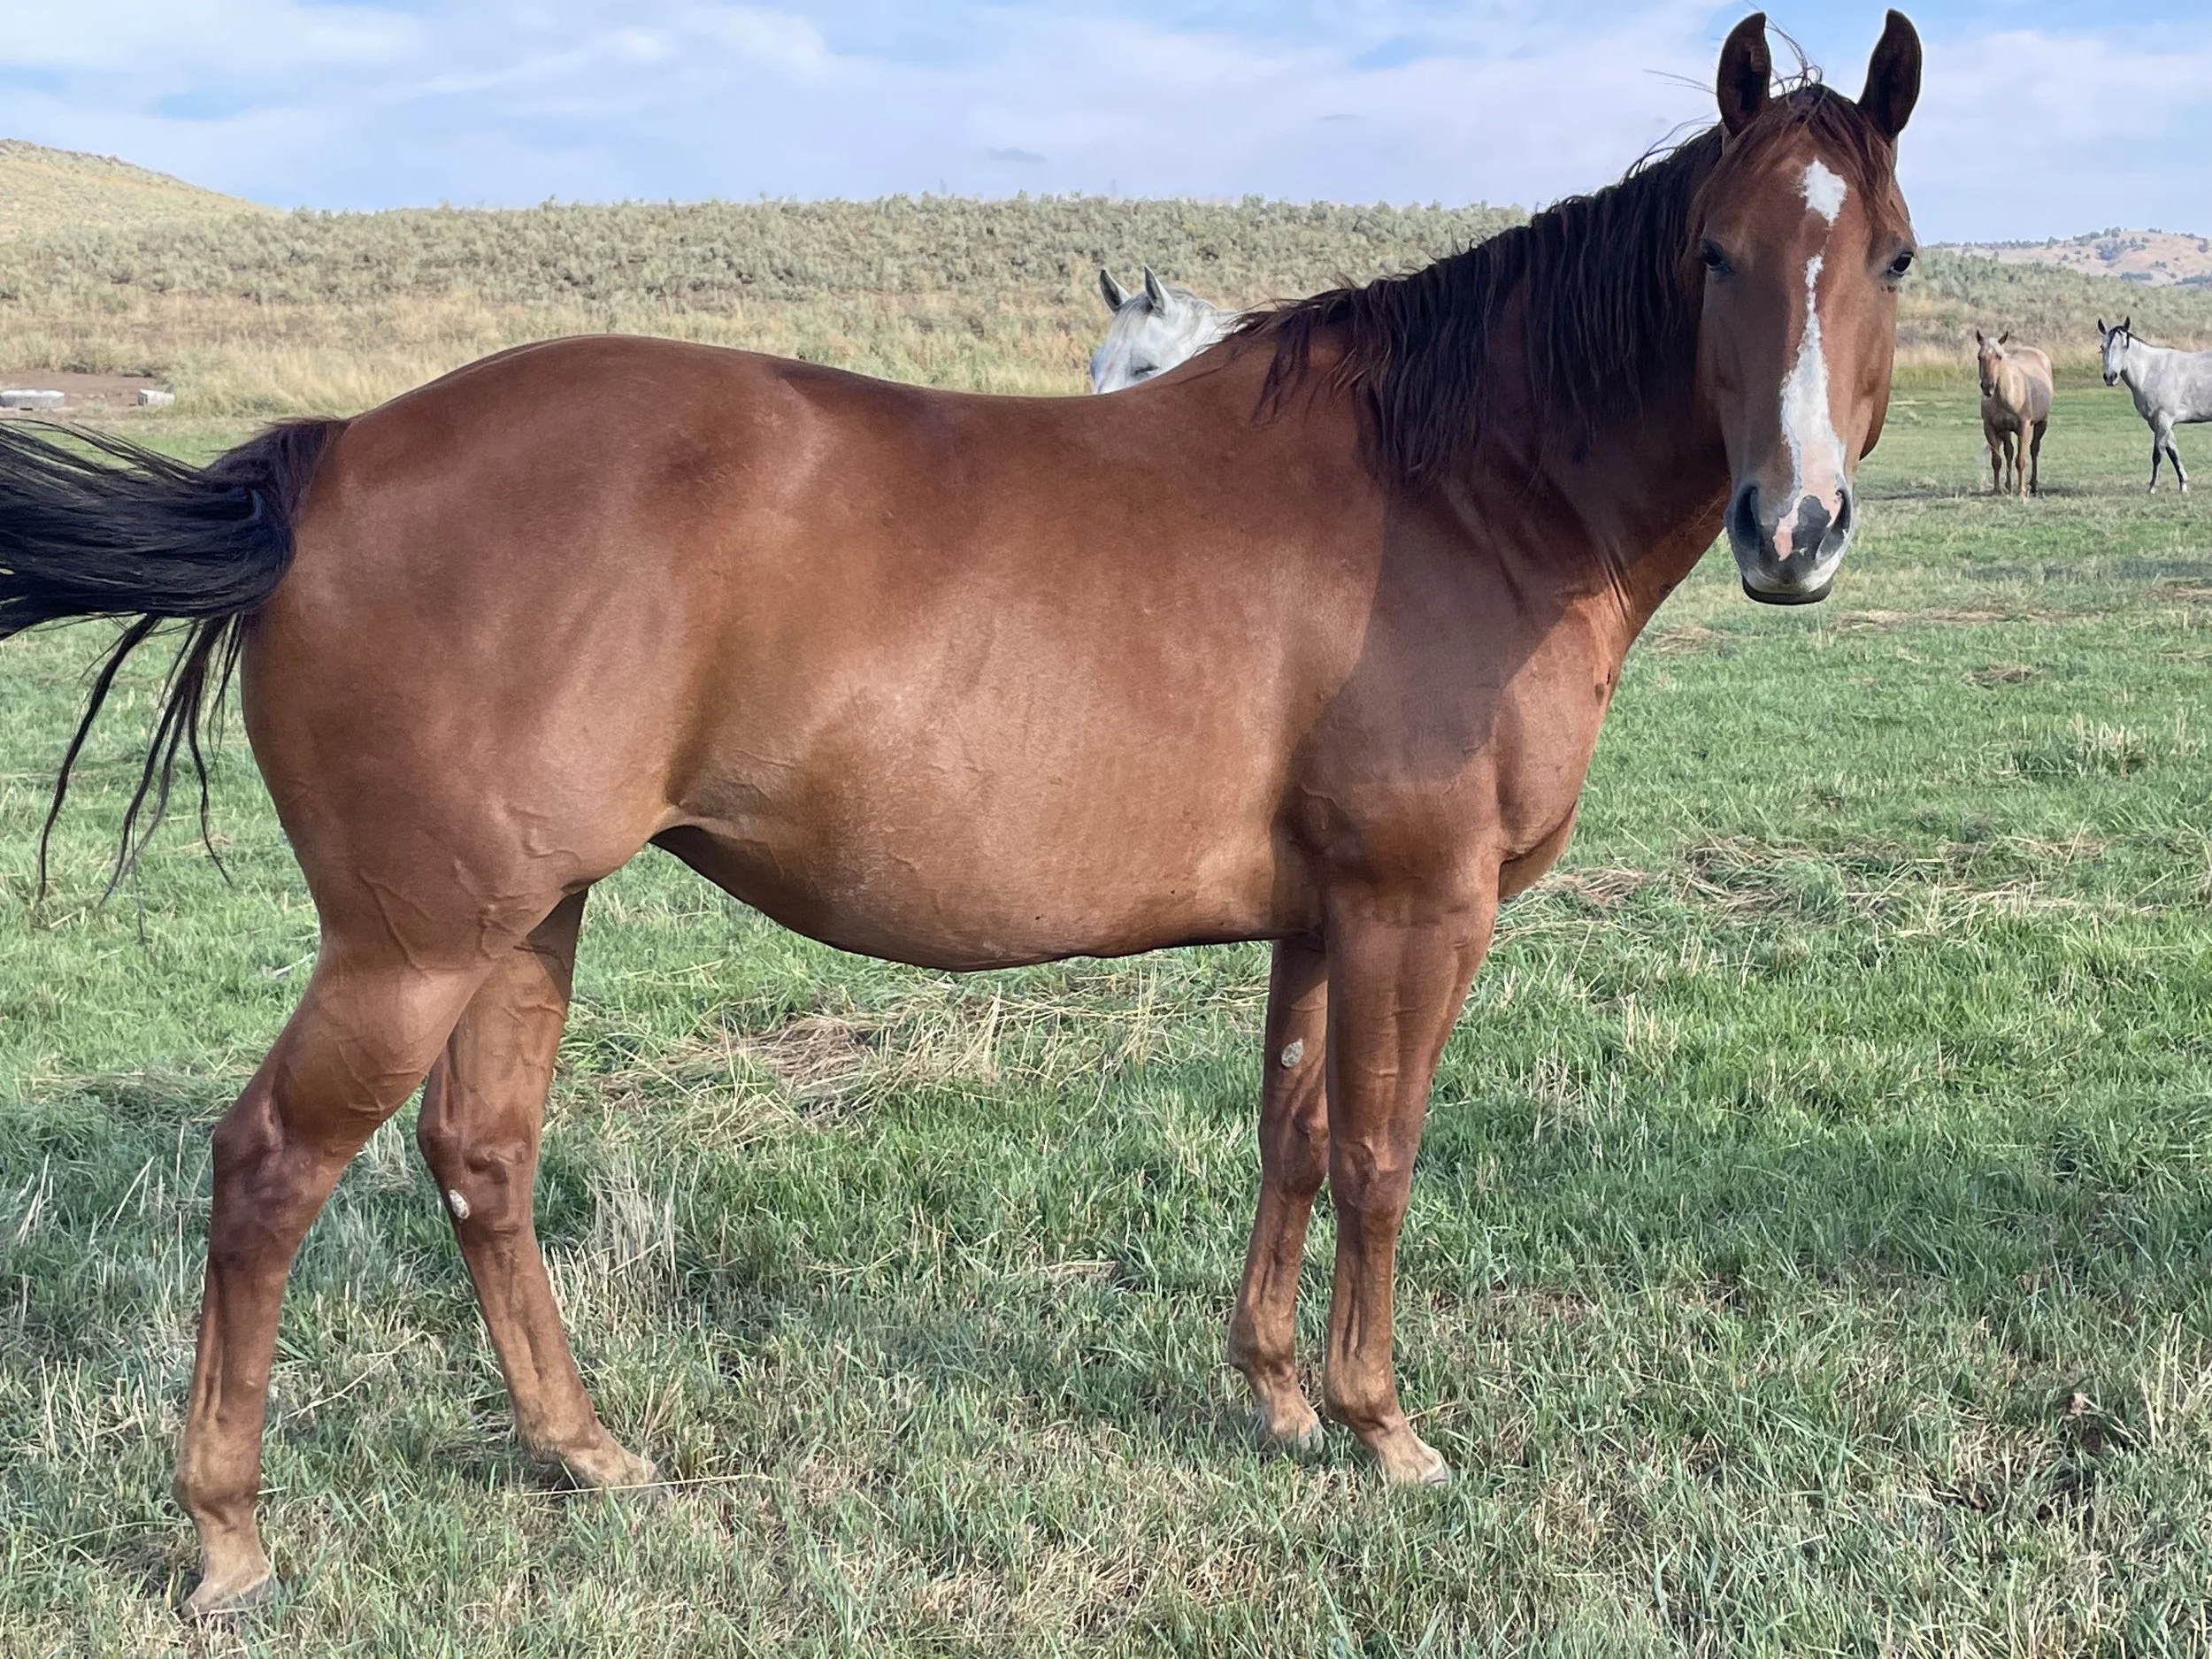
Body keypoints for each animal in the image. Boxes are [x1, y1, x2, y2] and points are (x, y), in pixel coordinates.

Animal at [1974, 328, 2051, 497]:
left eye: (1999, 356)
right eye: (1979, 357)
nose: (1988, 387)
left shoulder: (2024, 427)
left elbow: (2020, 460)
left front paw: (2021, 491)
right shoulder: (1991, 428)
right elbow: (1997, 460)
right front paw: (1997, 489)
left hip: (2041, 423)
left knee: (2034, 449)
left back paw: (2033, 485)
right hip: (2005, 430)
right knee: (2009, 452)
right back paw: (2008, 486)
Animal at [2099, 315, 2212, 493]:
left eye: (2125, 346)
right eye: (2102, 347)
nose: (2110, 377)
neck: (2151, 371)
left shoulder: (2164, 419)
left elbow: (2158, 454)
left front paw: (2152, 487)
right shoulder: (2155, 422)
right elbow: (2173, 452)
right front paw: (2183, 485)